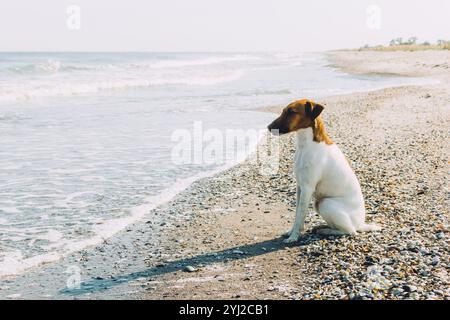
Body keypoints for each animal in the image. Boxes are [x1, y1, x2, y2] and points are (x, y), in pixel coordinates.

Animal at [268, 98, 380, 242]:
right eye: (284, 111)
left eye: (291, 112)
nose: (268, 127)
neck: (306, 145)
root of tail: (361, 223)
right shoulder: (300, 187)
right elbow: (297, 212)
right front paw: (292, 232)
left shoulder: (307, 188)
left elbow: (300, 216)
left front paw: (293, 237)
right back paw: (322, 226)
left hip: (324, 203)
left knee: (351, 231)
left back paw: (325, 231)